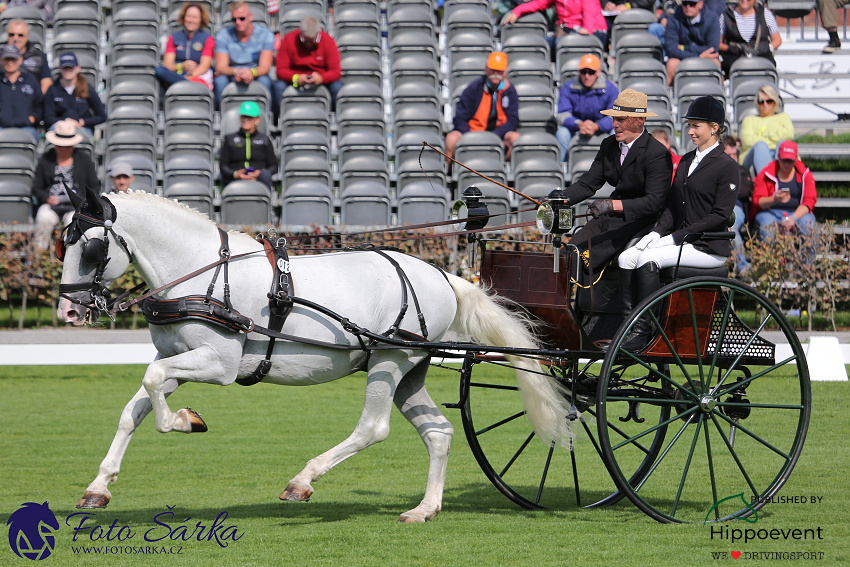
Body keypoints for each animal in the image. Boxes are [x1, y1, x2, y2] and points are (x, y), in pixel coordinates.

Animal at [58, 192, 568, 524]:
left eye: (92, 246)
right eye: (65, 240)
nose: (68, 310)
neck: (203, 272)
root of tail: (444, 275)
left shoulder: (218, 364)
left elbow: (152, 382)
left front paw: (185, 421)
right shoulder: (182, 357)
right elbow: (135, 406)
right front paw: (99, 487)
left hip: (388, 361)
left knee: (373, 428)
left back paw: (303, 481)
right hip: (410, 370)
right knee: (438, 432)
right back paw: (425, 509)